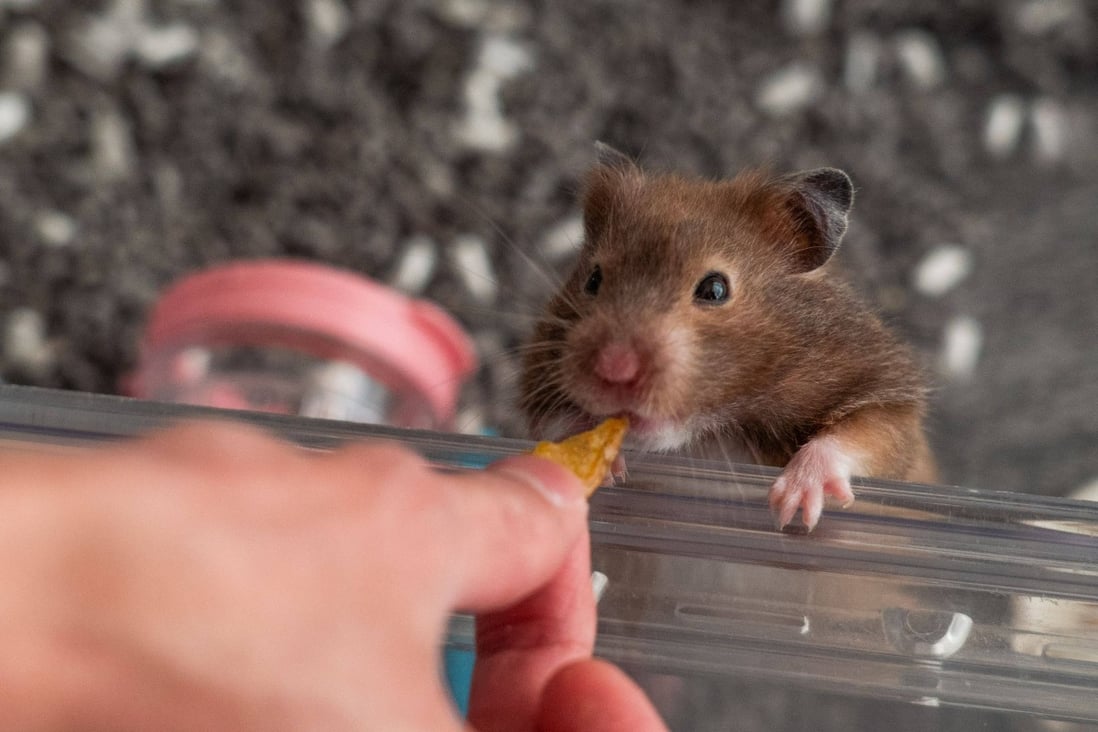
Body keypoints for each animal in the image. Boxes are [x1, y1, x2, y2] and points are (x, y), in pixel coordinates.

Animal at [519, 146, 937, 530]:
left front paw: (791, 507)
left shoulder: (888, 395)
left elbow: (866, 435)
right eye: (593, 280)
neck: (712, 431)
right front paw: (596, 460)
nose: (613, 368)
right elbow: (551, 420)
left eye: (715, 289)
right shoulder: (538, 381)